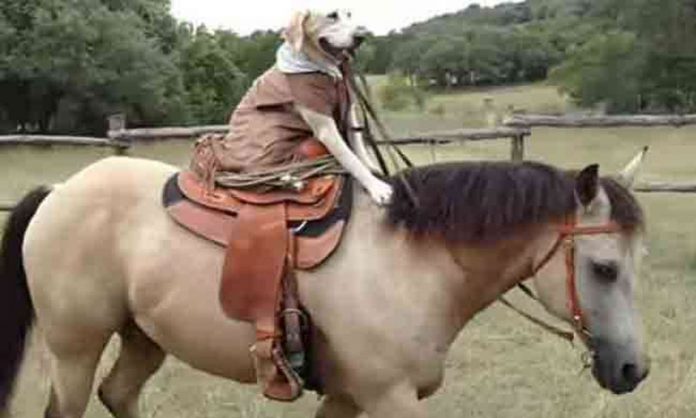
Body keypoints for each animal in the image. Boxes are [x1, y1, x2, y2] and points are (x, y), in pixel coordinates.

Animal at [0, 151, 650, 418]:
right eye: (603, 268)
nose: (633, 370)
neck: (413, 263)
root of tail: (60, 190)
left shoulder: (345, 397)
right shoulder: (389, 399)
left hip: (144, 338)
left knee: (119, 394)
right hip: (75, 349)